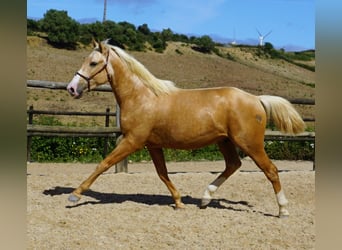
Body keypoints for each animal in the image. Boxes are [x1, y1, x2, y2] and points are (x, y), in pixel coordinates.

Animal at [66, 40, 304, 218]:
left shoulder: (132, 141)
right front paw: (179, 202)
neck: (141, 97)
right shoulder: (152, 145)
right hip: (225, 141)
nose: (71, 88)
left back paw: (283, 210)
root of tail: (257, 99)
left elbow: (103, 164)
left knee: (271, 170)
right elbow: (162, 173)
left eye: (94, 63)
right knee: (233, 165)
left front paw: (75, 195)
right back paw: (205, 199)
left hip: (250, 143)